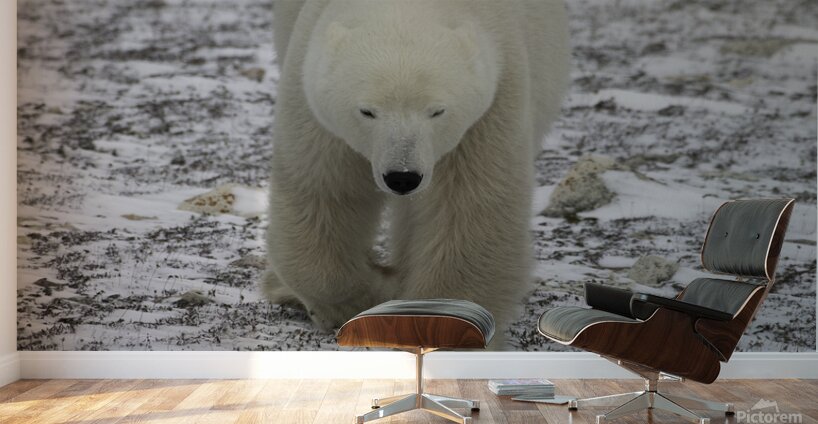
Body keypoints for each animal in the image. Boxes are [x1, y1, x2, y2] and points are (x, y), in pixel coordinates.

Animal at [264, 0, 570, 347]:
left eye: (437, 111)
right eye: (367, 111)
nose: (402, 177)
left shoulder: (492, 104)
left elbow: (467, 210)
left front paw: (438, 320)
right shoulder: (311, 94)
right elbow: (325, 192)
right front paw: (359, 299)